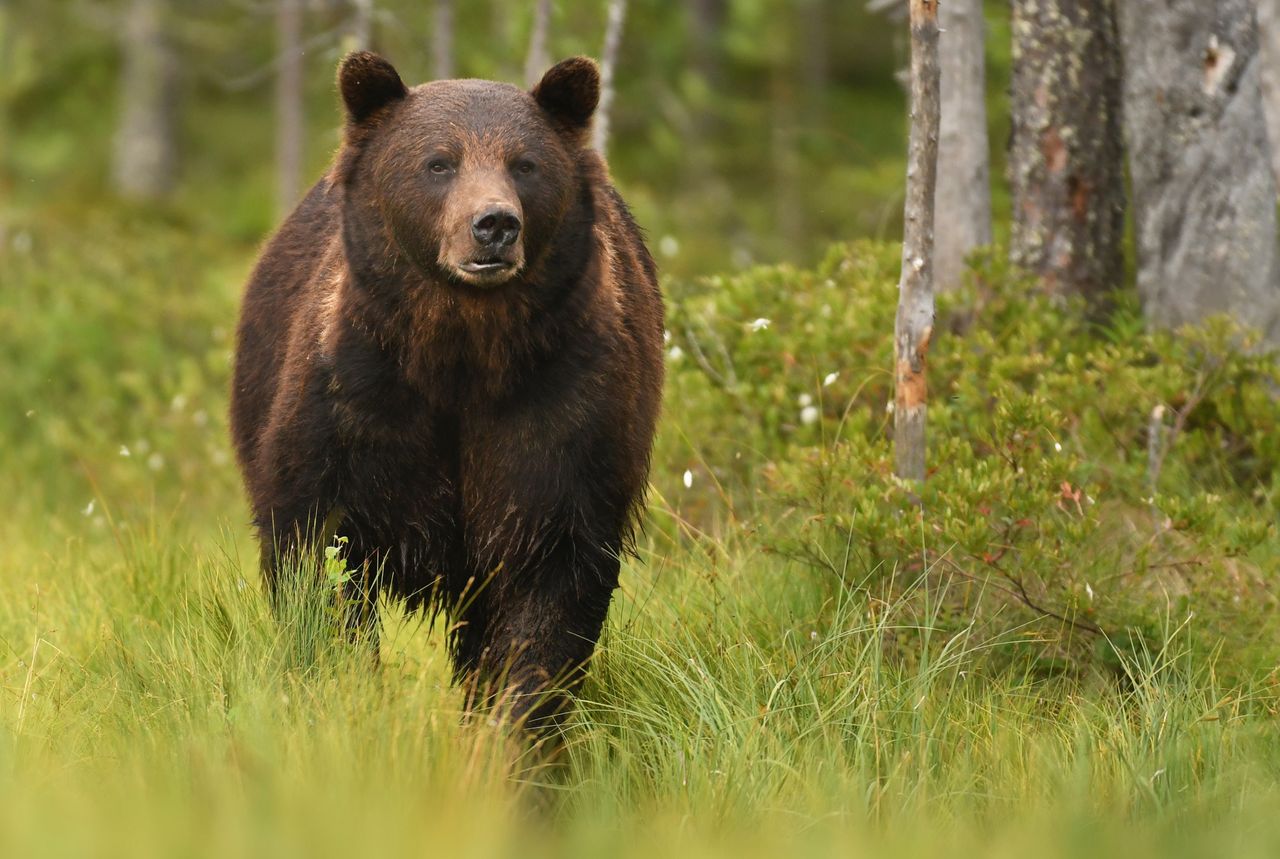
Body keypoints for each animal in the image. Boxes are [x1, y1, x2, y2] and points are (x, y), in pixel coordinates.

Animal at [230, 52, 665, 732]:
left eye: (524, 163)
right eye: (438, 162)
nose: (494, 225)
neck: (461, 355)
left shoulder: (563, 405)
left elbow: (552, 576)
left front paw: (515, 727)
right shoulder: (356, 401)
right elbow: (317, 555)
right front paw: (345, 691)